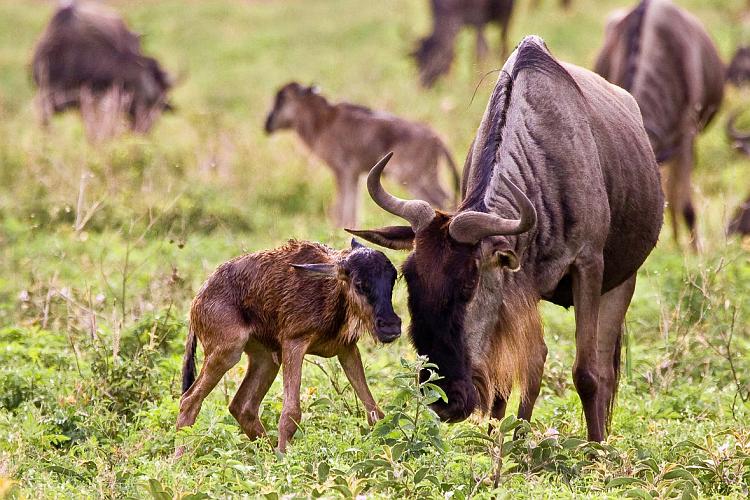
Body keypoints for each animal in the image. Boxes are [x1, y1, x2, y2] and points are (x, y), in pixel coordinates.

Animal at [176, 238, 402, 454]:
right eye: (359, 283)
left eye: (393, 278)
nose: (391, 325)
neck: (331, 291)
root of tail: (197, 300)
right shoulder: (294, 343)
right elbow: (290, 413)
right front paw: (285, 460)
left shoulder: (347, 349)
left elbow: (375, 411)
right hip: (227, 353)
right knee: (189, 400)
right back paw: (179, 459)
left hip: (266, 359)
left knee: (242, 406)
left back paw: (268, 455)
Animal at [268, 82, 462, 229]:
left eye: (283, 98)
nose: (267, 124)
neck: (323, 121)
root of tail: (436, 138)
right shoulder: (355, 175)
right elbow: (351, 204)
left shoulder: (342, 171)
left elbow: (343, 205)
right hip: (429, 177)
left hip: (410, 178)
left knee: (439, 201)